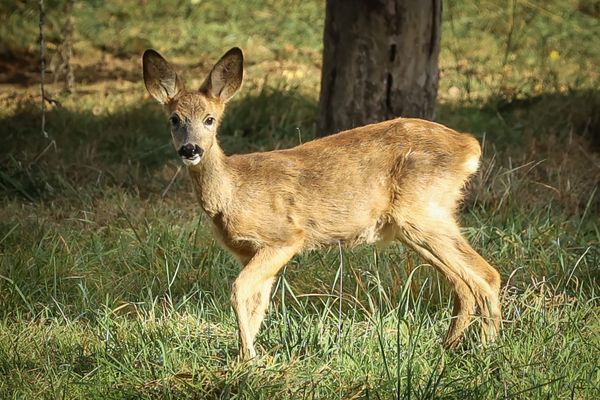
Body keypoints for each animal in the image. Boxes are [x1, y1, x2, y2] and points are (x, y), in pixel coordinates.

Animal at [142, 47, 502, 360]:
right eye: (174, 119)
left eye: (210, 119)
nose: (190, 149)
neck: (233, 191)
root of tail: (469, 146)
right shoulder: (250, 251)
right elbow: (257, 302)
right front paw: (246, 358)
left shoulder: (285, 237)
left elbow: (238, 290)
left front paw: (250, 358)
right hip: (416, 224)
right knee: (463, 283)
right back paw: (449, 346)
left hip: (423, 212)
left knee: (486, 276)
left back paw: (485, 349)